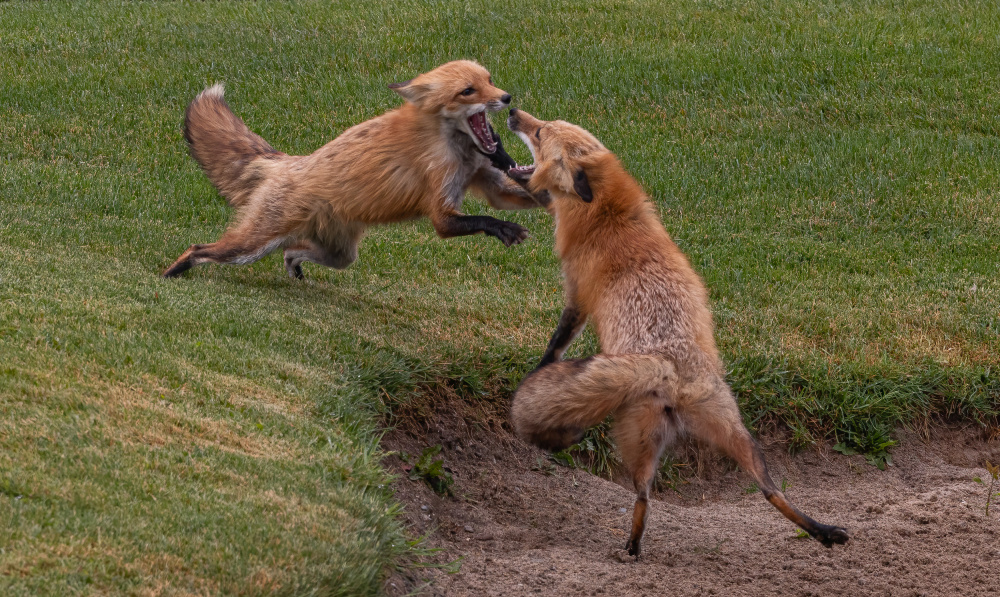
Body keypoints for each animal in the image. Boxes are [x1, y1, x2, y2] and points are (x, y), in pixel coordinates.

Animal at [162, 60, 548, 280]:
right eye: (468, 91)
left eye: (489, 80)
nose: (507, 98)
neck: (455, 146)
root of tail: (290, 161)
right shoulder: (441, 200)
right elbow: (476, 219)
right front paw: (504, 228)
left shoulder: (488, 181)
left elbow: (514, 195)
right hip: (251, 245)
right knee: (200, 248)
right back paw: (172, 274)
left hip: (339, 253)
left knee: (294, 251)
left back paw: (293, 267)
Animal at [504, 106, 848, 556]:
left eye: (541, 132)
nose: (512, 110)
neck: (608, 217)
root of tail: (669, 370)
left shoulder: (577, 297)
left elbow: (556, 345)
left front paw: (537, 371)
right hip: (736, 433)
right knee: (771, 491)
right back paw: (823, 531)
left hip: (633, 440)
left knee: (642, 497)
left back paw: (631, 548)